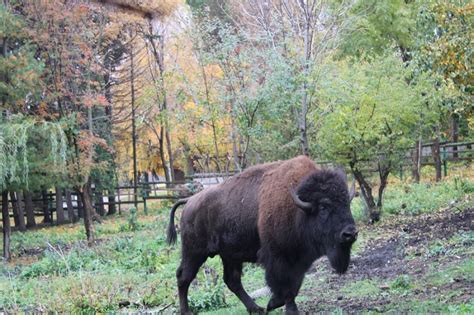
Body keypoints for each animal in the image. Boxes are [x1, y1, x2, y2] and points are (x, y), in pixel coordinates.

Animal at [167, 157, 356, 314]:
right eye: (324, 207)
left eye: (347, 203)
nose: (350, 233)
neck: (300, 209)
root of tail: (190, 200)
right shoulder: (278, 258)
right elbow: (285, 286)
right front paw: (282, 307)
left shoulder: (299, 260)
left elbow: (294, 285)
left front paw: (272, 304)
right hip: (194, 252)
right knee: (184, 277)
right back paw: (186, 311)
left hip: (230, 255)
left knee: (232, 280)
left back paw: (256, 308)